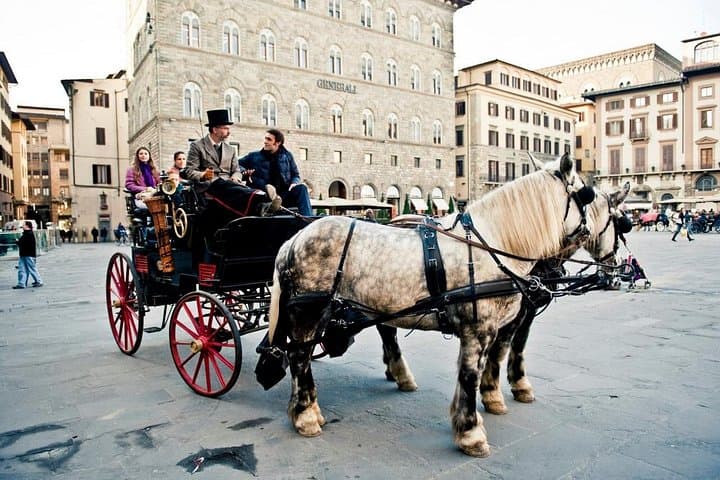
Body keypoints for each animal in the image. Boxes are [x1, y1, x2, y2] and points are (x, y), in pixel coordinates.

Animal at [266, 154, 594, 457]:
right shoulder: (478, 330)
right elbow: (470, 376)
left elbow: (479, 370)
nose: (589, 232)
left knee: (306, 353)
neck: (492, 244)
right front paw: (471, 434)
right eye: (587, 195)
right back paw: (306, 417)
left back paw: (310, 408)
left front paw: (472, 418)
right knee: (299, 357)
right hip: (309, 311)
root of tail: (294, 240)